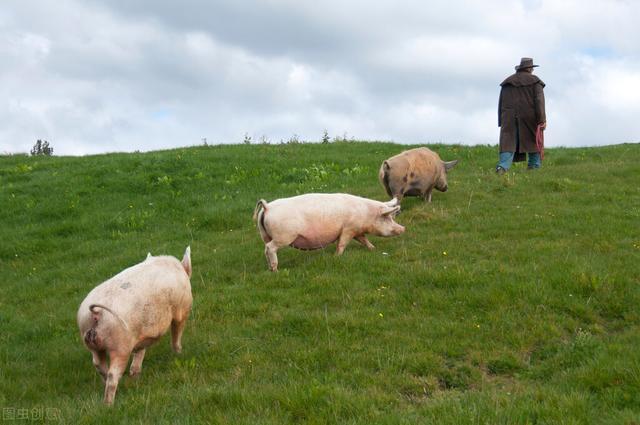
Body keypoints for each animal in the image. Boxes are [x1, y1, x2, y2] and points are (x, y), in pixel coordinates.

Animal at [76, 248, 191, 404]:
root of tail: (96, 312)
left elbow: (140, 350)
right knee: (112, 375)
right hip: (120, 346)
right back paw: (109, 404)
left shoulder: (142, 335)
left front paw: (135, 374)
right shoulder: (182, 309)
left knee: (98, 364)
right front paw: (179, 353)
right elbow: (177, 332)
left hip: (91, 342)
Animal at [251, 193, 404, 272]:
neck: (366, 214)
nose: (403, 228)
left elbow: (364, 240)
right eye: (387, 218)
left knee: (265, 248)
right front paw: (337, 256)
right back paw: (276, 270)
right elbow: (342, 243)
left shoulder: (357, 231)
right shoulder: (348, 228)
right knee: (270, 248)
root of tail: (267, 207)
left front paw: (373, 249)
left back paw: (270, 269)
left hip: (264, 234)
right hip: (284, 236)